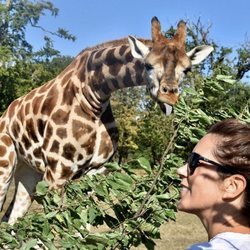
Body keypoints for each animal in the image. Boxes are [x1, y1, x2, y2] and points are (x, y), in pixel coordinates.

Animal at [0, 16, 213, 224]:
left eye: (187, 69)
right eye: (148, 64)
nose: (169, 96)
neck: (93, 95)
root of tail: (5, 114)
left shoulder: (97, 171)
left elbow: (82, 223)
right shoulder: (58, 172)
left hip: (28, 170)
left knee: (11, 220)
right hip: (6, 166)